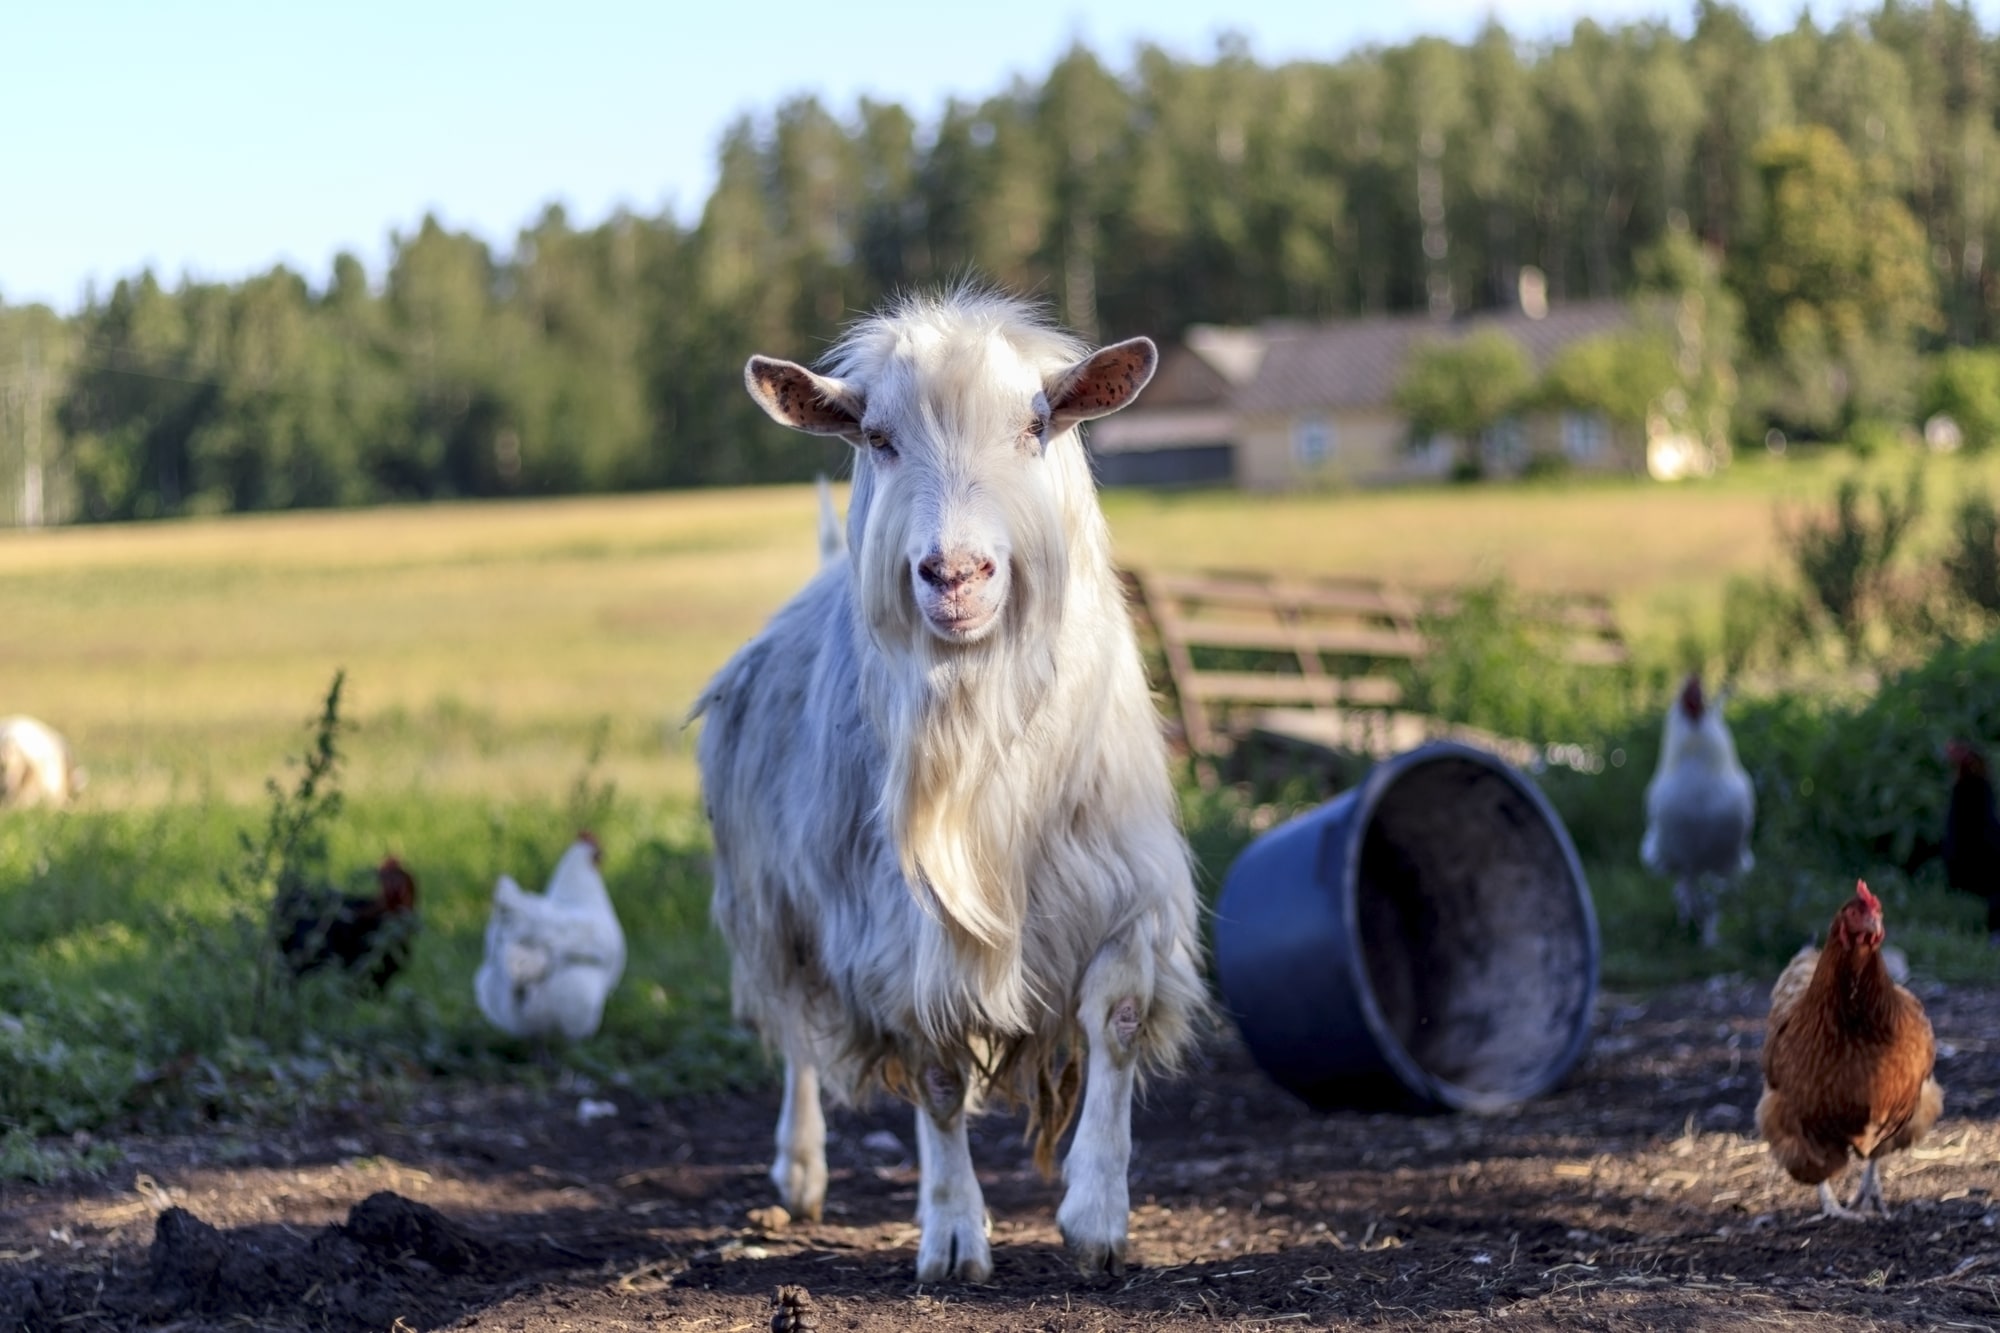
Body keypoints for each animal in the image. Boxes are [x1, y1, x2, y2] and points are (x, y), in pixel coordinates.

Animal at [694, 288, 1206, 1281]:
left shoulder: (1126, 879)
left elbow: (1117, 1016)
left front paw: (1097, 1214)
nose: (954, 574)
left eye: (1037, 424)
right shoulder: (893, 925)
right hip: (772, 898)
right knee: (797, 1035)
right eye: (877, 436)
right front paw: (955, 1233)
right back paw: (799, 1170)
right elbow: (933, 1072)